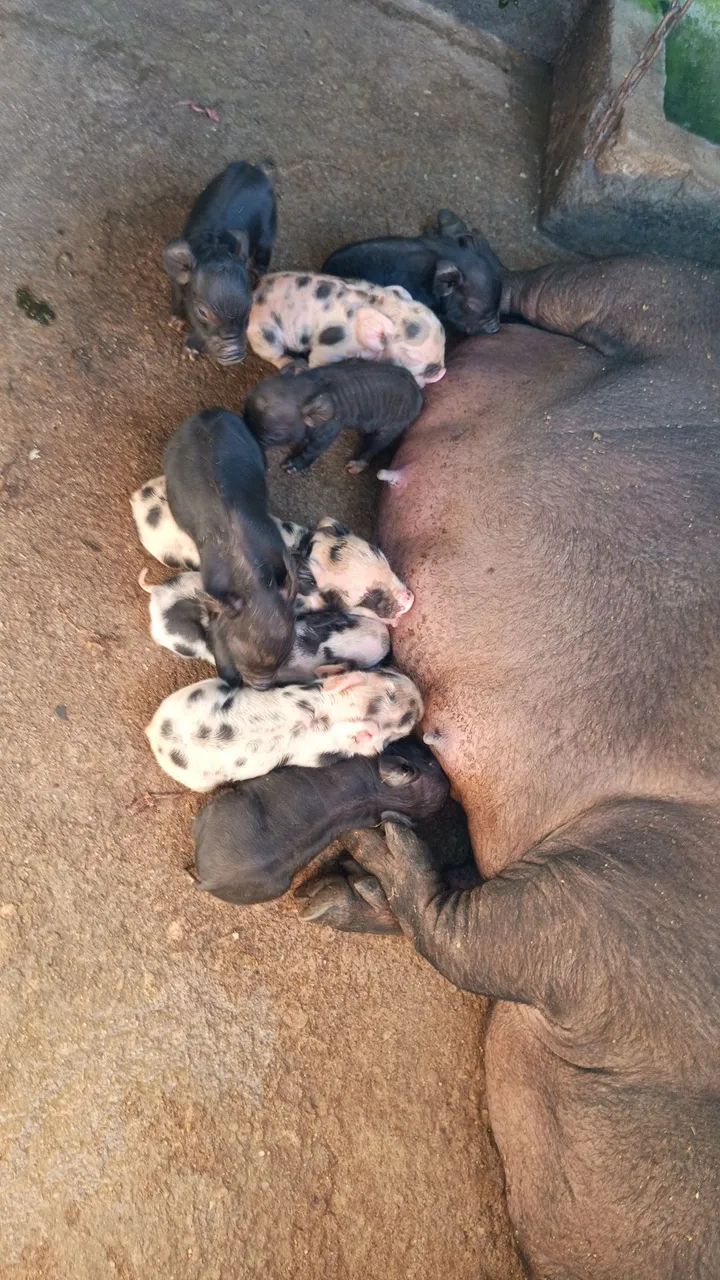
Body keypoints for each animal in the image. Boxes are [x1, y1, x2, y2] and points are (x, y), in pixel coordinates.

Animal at [163, 160, 277, 364]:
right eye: (202, 312)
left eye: (249, 307)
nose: (234, 355)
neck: (213, 248)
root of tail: (256, 169)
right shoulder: (177, 280)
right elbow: (177, 295)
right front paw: (175, 323)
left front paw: (189, 353)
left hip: (269, 230)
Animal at [244, 358, 424, 474]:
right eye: (244, 413)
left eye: (276, 435)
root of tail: (418, 393)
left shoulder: (331, 427)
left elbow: (316, 448)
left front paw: (289, 467)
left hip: (396, 424)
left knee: (378, 444)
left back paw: (353, 467)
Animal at [247, 272, 446, 386]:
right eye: (412, 356)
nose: (442, 372)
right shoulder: (331, 347)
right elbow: (317, 361)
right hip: (263, 333)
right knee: (272, 353)